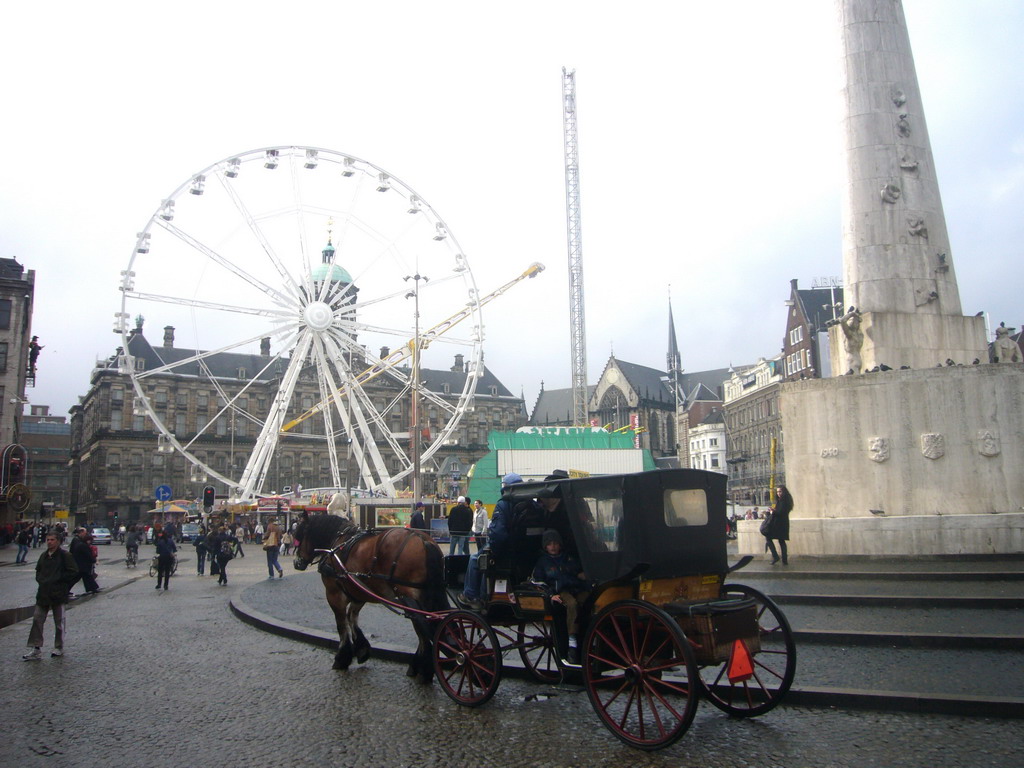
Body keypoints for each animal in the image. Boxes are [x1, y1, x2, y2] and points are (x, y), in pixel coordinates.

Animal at [290, 514, 446, 684]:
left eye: (299, 535)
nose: (297, 563)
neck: (337, 543)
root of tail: (423, 540)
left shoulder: (334, 594)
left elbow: (341, 625)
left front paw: (342, 658)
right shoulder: (359, 593)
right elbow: (352, 617)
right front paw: (362, 649)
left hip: (409, 597)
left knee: (422, 629)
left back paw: (423, 670)